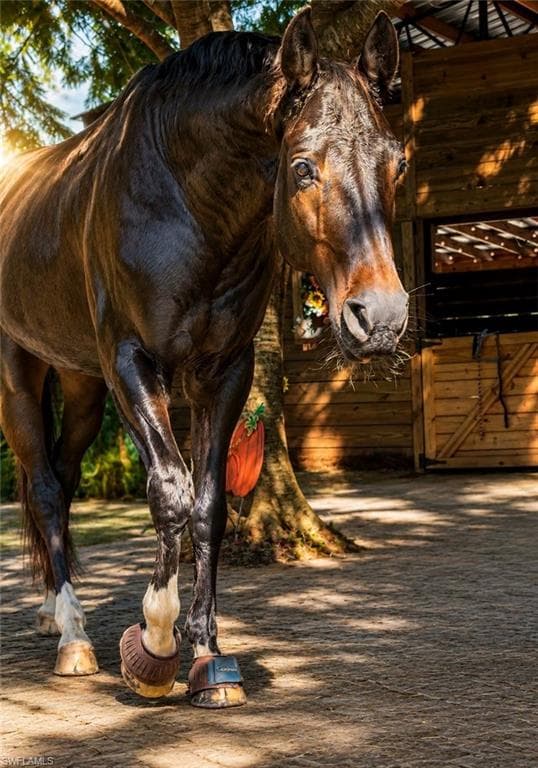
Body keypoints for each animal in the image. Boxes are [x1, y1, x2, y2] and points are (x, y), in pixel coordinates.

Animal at [0, 8, 408, 708]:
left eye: (397, 163)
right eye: (303, 167)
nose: (380, 317)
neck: (185, 202)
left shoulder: (226, 371)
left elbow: (209, 506)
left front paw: (209, 656)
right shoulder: (131, 362)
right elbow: (170, 492)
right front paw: (157, 642)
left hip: (80, 385)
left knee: (62, 478)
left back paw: (60, 616)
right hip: (19, 376)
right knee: (47, 489)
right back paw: (73, 637)